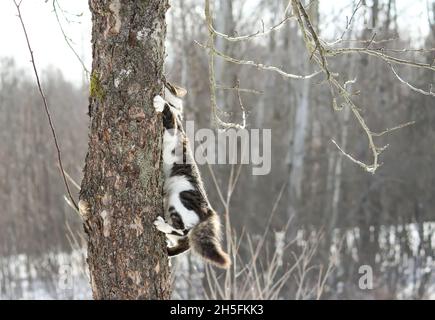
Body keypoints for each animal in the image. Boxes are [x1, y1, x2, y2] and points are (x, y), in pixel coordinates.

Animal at [153, 81, 232, 268]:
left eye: (167, 82)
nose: (165, 78)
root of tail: (209, 212)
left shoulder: (173, 128)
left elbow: (168, 113)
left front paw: (160, 102)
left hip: (180, 199)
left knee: (183, 231)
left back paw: (162, 226)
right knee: (183, 241)